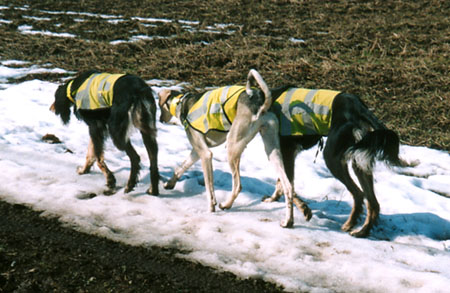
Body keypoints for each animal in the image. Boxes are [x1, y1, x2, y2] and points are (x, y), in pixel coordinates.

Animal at [158, 69, 312, 227]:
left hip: (232, 146)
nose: (160, 120)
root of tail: (260, 103)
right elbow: (181, 167)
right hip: (272, 151)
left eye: (159, 105)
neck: (182, 104)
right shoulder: (197, 151)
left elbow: (209, 187)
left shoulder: (205, 154)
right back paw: (288, 221)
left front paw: (211, 207)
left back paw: (226, 205)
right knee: (288, 186)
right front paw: (169, 184)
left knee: (238, 186)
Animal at [264, 82, 414, 237]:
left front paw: (301, 211)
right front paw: (275, 199)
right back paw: (362, 231)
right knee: (373, 203)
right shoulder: (288, 154)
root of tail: (356, 104)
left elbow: (287, 185)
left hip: (332, 158)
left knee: (358, 194)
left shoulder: (286, 151)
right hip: (359, 160)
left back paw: (350, 224)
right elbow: (283, 183)